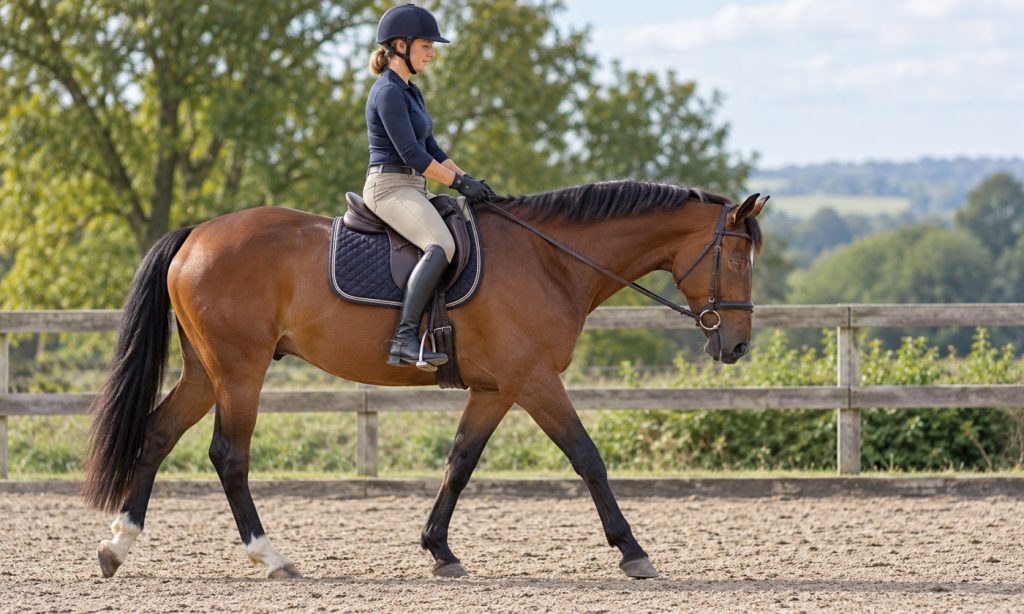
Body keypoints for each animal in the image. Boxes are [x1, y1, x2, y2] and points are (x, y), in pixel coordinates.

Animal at [82, 179, 765, 580]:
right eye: (735, 257)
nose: (735, 345)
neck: (550, 258)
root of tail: (196, 234)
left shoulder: (497, 388)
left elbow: (459, 462)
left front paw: (439, 550)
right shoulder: (534, 379)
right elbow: (587, 457)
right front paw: (632, 550)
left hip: (206, 372)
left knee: (156, 435)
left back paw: (118, 547)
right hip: (240, 372)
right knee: (228, 455)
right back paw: (270, 557)